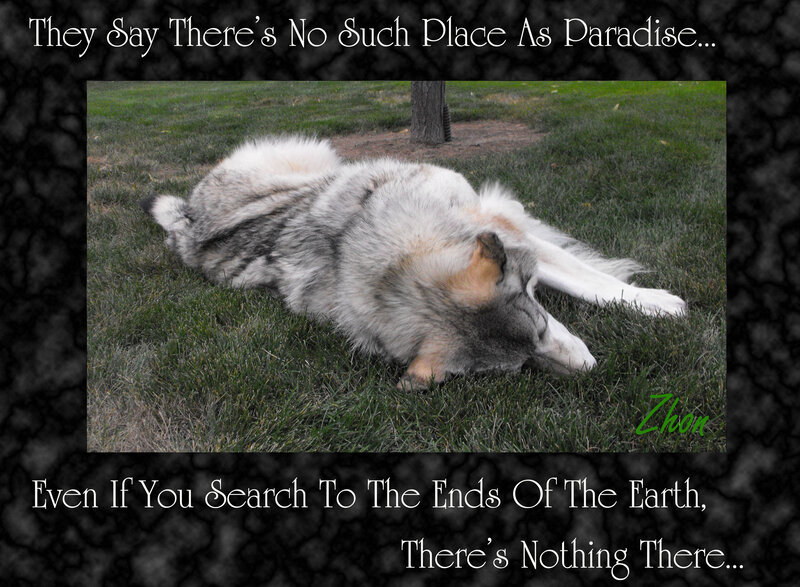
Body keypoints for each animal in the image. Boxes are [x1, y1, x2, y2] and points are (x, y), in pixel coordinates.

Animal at [142, 136, 686, 391]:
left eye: (542, 330)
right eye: (523, 365)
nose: (592, 371)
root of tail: (187, 218)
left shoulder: (497, 224)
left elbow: (588, 280)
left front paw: (654, 303)